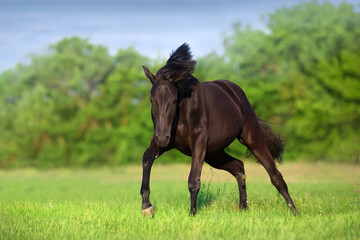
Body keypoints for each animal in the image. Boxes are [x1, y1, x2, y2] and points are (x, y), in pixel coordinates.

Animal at [140, 43, 296, 218]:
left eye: (173, 100)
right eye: (151, 100)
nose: (162, 138)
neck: (183, 111)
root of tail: (237, 94)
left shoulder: (198, 142)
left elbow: (193, 180)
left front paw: (192, 214)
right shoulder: (165, 141)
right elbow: (146, 158)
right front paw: (147, 207)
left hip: (251, 138)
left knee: (275, 175)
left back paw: (295, 212)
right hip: (214, 154)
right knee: (239, 166)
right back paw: (243, 208)